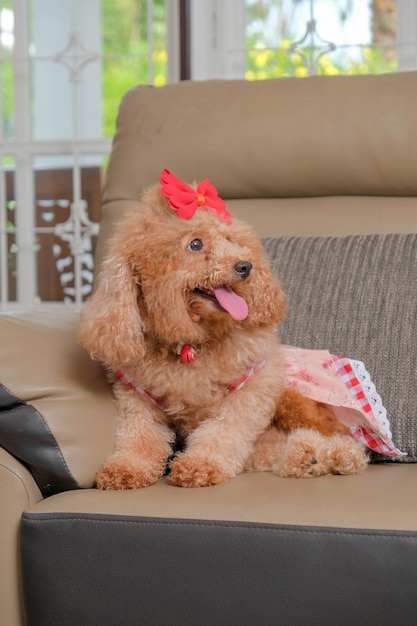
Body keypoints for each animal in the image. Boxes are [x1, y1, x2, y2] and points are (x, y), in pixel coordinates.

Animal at [77, 171, 364, 488]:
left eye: (231, 240)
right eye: (195, 244)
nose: (245, 266)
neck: (191, 343)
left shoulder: (254, 386)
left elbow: (224, 432)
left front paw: (199, 465)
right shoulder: (137, 398)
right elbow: (139, 436)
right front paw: (125, 469)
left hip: (295, 401)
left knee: (343, 438)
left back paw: (335, 455)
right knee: (274, 450)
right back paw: (303, 457)